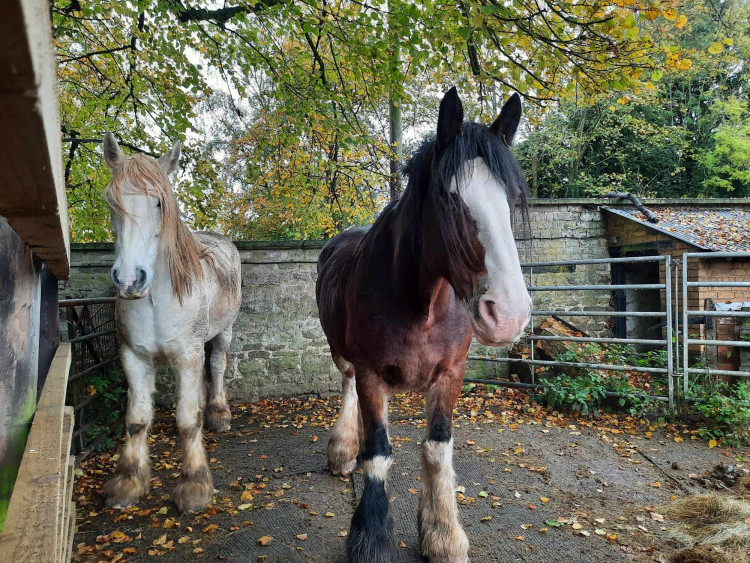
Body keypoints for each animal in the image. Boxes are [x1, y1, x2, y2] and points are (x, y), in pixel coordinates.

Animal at [101, 134, 242, 512]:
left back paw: (218, 413)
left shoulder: (187, 357)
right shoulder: (133, 357)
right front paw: (128, 482)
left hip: (224, 332)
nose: (129, 280)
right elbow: (136, 420)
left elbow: (187, 420)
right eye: (111, 201)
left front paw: (195, 485)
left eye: (160, 203)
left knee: (217, 365)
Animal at [318, 89, 536, 563]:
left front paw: (443, 535)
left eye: (513, 199)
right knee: (346, 388)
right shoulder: (371, 375)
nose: (508, 314)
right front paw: (371, 538)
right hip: (340, 353)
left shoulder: (451, 374)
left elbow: (437, 449)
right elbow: (378, 453)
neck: (422, 306)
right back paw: (343, 449)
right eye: (449, 198)